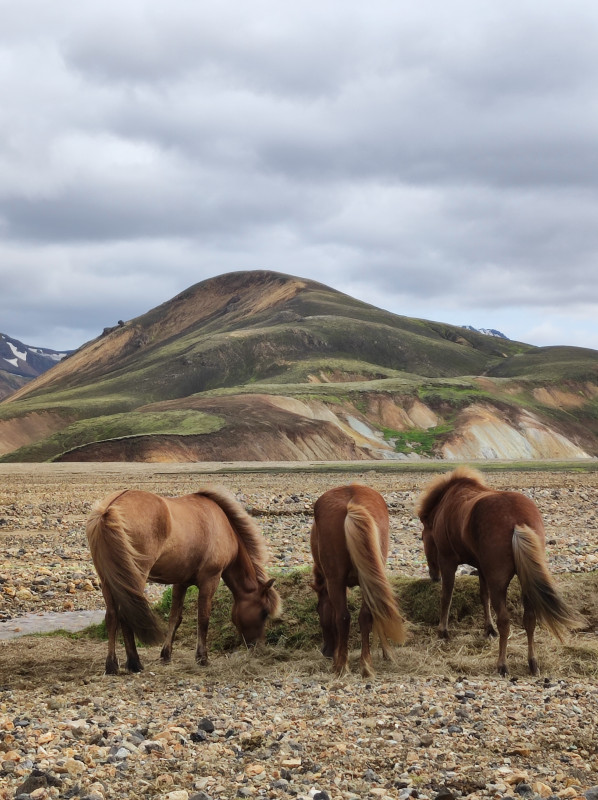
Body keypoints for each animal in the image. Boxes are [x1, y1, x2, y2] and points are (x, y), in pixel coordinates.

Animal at [85, 488, 282, 676]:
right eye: (264, 612)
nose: (258, 647)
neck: (225, 527)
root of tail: (109, 509)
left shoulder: (180, 583)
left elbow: (175, 617)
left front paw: (166, 654)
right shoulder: (210, 580)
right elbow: (203, 619)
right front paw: (202, 658)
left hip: (108, 580)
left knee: (112, 616)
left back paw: (112, 665)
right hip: (134, 578)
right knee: (125, 616)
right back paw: (134, 663)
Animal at [310, 484, 408, 680]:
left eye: (318, 609)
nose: (326, 651)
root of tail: (352, 502)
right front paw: (387, 653)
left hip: (336, 581)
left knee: (343, 617)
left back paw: (341, 666)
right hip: (367, 577)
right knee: (365, 616)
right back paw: (366, 665)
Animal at [420, 466, 584, 680]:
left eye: (422, 538)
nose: (433, 576)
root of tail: (517, 521)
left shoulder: (448, 562)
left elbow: (446, 596)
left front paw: (443, 631)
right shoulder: (482, 568)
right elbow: (484, 597)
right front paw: (488, 629)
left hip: (498, 582)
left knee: (505, 621)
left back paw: (502, 664)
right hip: (524, 582)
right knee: (529, 619)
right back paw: (532, 663)